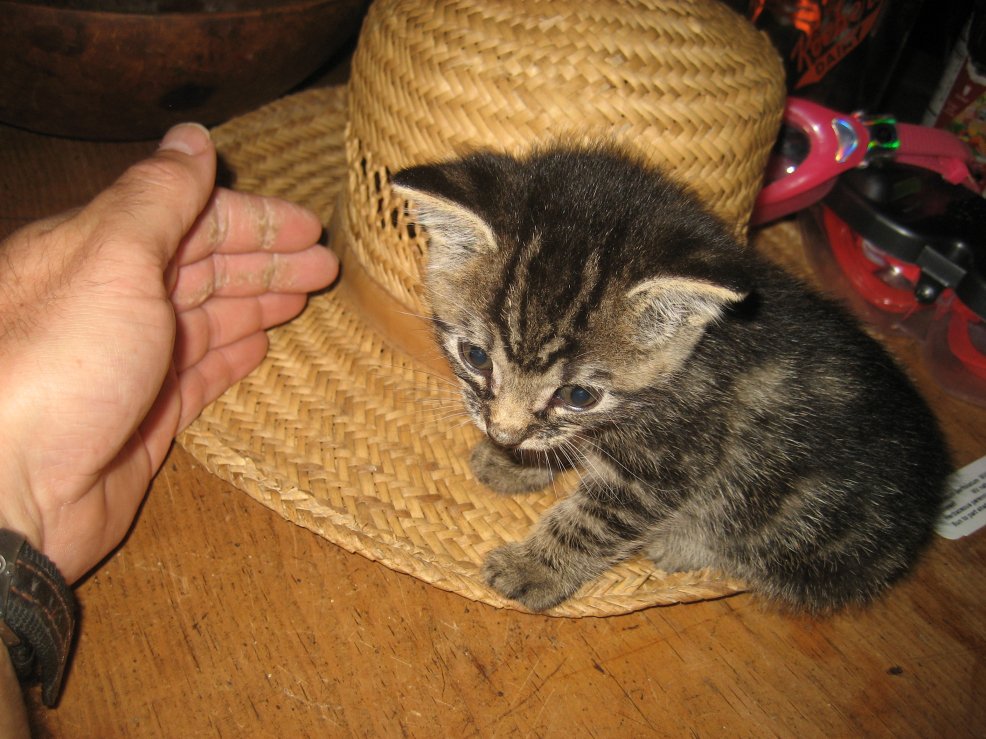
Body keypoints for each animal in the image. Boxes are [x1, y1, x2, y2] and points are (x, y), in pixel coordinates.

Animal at [391, 145, 951, 613]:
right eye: (476, 356)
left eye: (579, 395)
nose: (505, 434)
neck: (692, 358)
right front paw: (515, 461)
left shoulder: (670, 463)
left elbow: (594, 520)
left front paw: (534, 567)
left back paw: (680, 544)